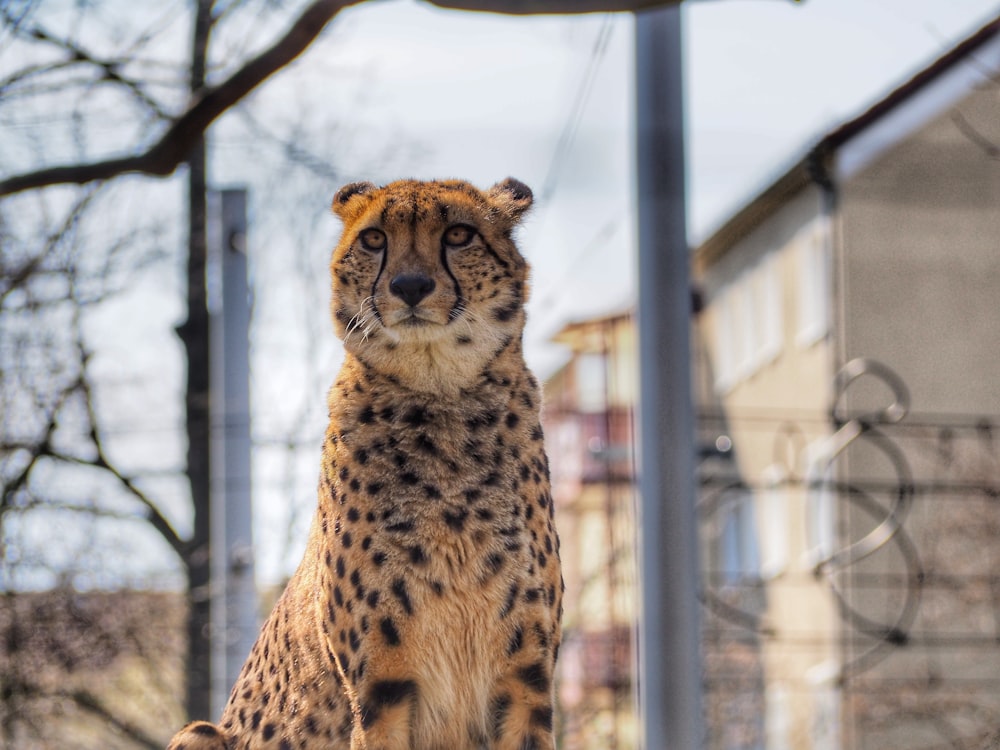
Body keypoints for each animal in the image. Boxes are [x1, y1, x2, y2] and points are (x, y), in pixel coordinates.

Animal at [168, 179, 568, 748]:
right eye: (375, 239)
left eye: (459, 234)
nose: (410, 285)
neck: (439, 396)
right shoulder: (380, 691)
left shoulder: (526, 682)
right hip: (200, 732)